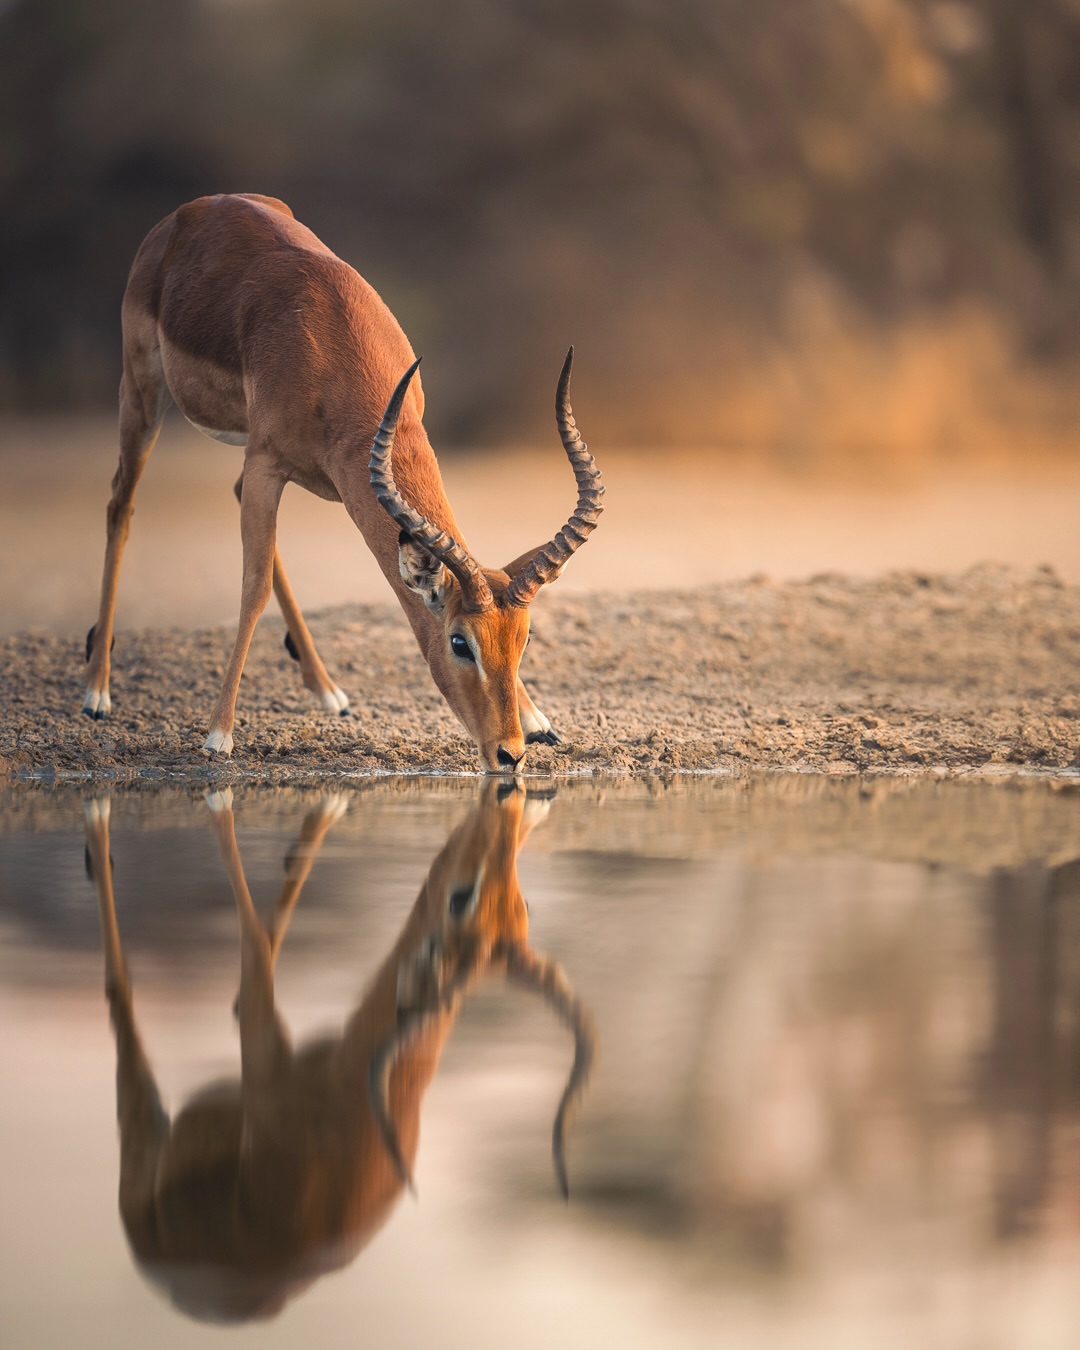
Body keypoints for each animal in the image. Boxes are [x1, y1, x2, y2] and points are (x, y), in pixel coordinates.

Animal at [82, 193, 605, 771]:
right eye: (459, 642)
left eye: (522, 639)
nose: (508, 754)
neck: (330, 342)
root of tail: (190, 212)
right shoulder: (266, 462)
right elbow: (252, 587)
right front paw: (218, 734)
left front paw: (540, 722)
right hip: (143, 394)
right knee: (120, 504)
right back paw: (96, 693)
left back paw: (329, 691)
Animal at [83, 783, 595, 1324]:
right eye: (461, 898)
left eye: (519, 907)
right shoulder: (265, 1067)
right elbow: (257, 939)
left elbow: (260, 943)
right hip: (144, 1149)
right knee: (121, 994)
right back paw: (98, 819)